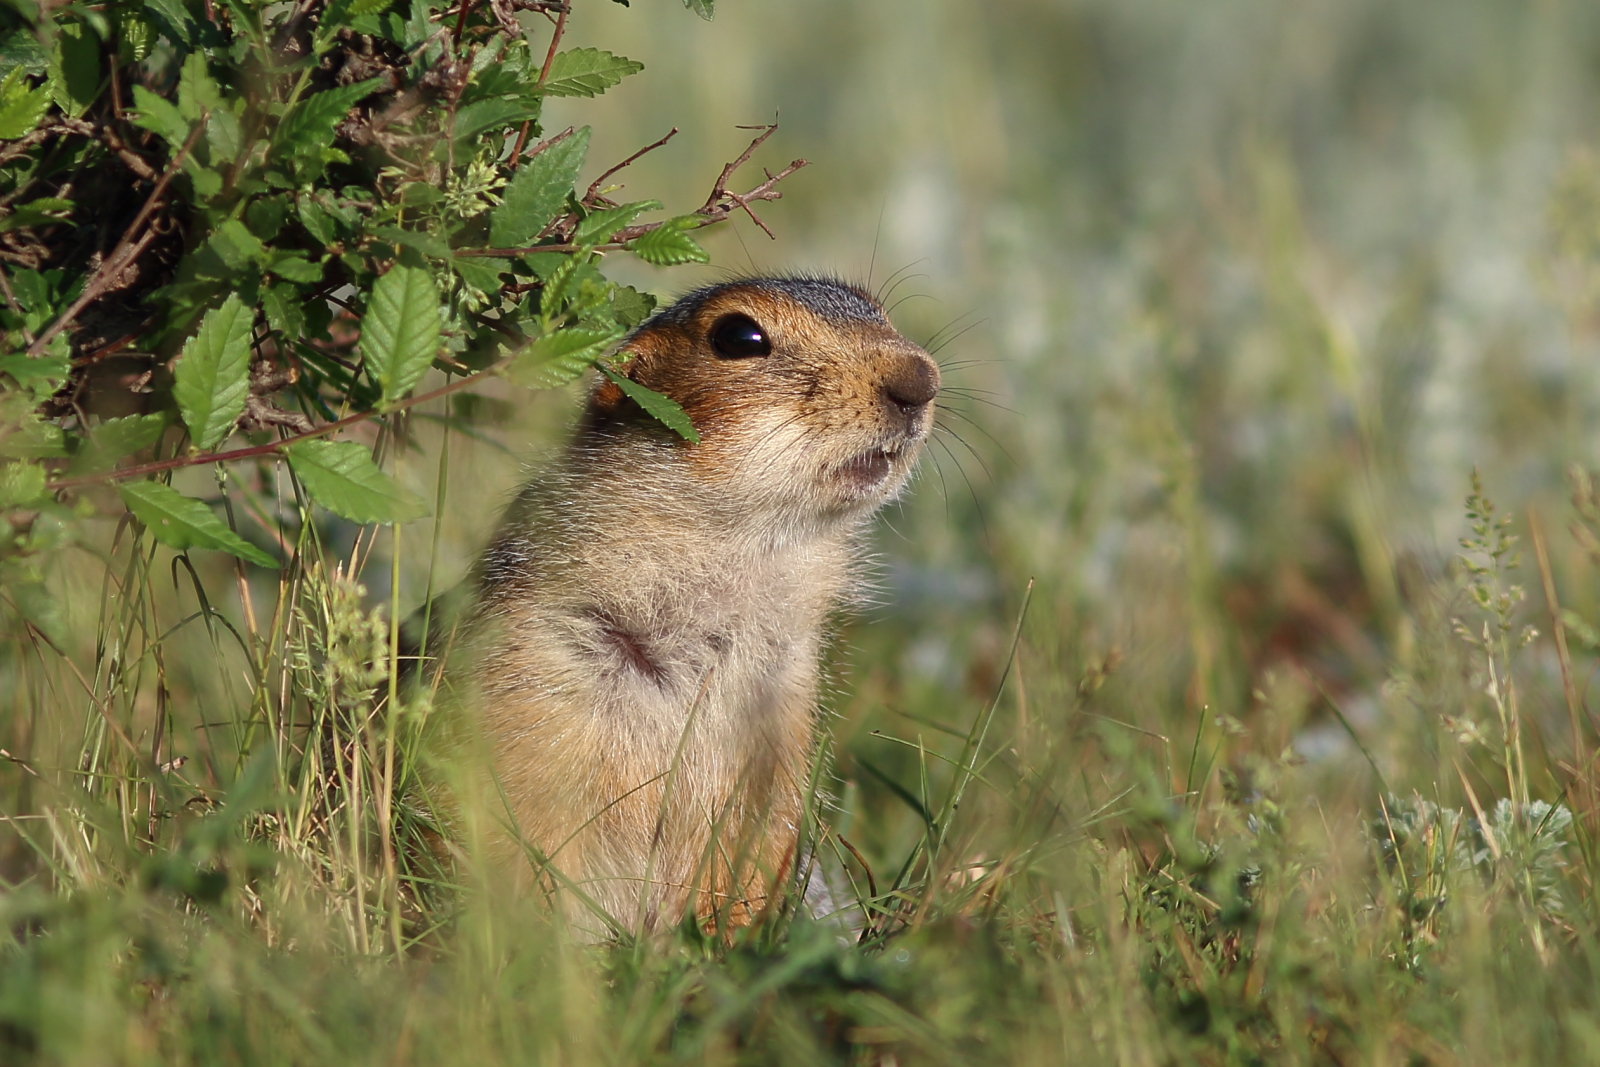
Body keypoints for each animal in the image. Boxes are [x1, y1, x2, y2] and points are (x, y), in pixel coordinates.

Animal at [457, 273, 934, 934]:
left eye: (878, 310)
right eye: (738, 335)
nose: (921, 379)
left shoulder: (782, 719)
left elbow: (758, 850)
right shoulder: (530, 682)